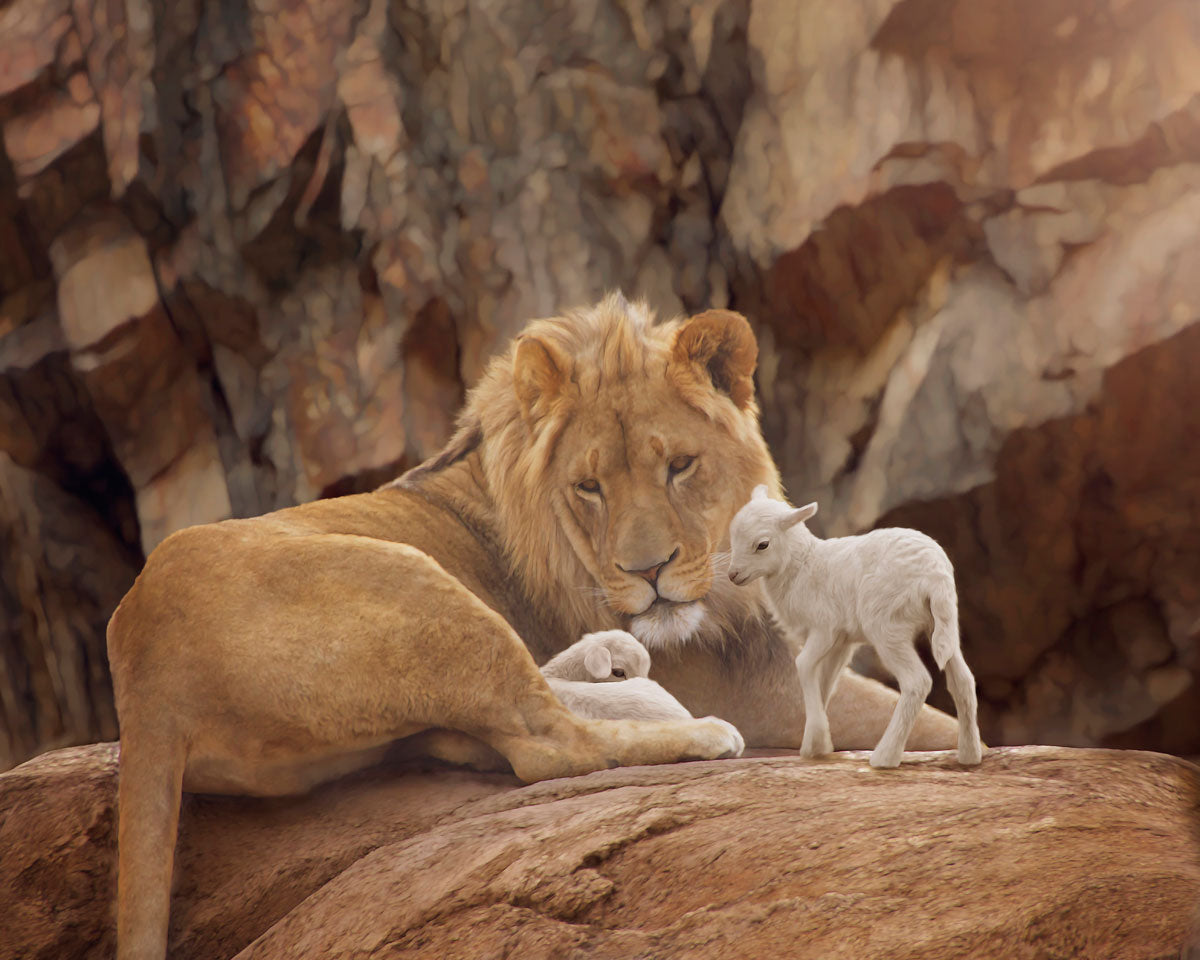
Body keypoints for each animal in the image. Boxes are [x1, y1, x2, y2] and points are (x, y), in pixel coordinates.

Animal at [727, 485, 983, 769]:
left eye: (762, 544)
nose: (733, 575)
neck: (802, 566)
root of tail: (935, 575)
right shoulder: (841, 641)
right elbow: (825, 681)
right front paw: (816, 743)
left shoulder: (824, 628)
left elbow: (803, 665)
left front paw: (816, 740)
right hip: (943, 624)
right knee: (963, 680)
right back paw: (969, 755)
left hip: (887, 626)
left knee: (917, 682)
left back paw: (885, 756)